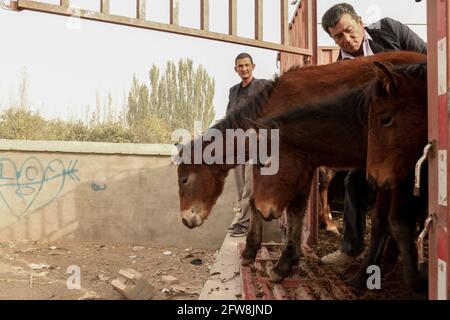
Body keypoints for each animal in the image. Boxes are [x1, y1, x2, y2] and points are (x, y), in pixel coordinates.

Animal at [175, 50, 426, 282]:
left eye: (184, 179)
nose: (186, 220)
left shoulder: (300, 166)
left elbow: (293, 210)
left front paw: (283, 263)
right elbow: (257, 201)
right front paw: (252, 251)